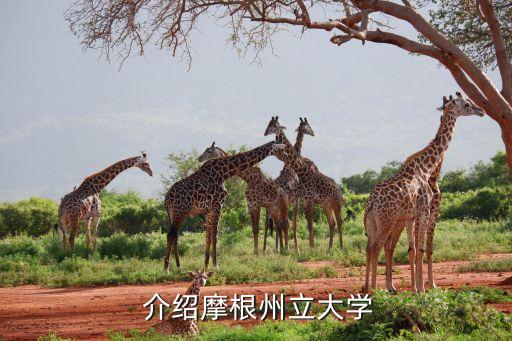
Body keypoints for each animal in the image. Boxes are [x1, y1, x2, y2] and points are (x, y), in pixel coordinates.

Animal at [164, 139, 286, 270]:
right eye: (278, 147)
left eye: (208, 151)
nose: (285, 152)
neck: (224, 172)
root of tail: (166, 199)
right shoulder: (218, 205)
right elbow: (215, 236)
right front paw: (215, 266)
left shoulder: (209, 210)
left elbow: (208, 237)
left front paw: (206, 266)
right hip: (180, 213)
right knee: (171, 235)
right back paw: (167, 269)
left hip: (173, 214)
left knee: (174, 235)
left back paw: (178, 267)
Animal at [264, 117, 344, 250]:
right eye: (308, 126)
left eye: (273, 125)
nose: (313, 132)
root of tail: (339, 189)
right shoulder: (303, 200)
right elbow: (304, 224)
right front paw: (307, 248)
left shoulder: (303, 200)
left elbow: (303, 224)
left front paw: (307, 247)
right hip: (326, 204)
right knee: (332, 222)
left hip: (334, 203)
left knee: (338, 221)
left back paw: (339, 247)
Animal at [364, 92, 484, 292]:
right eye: (467, 104)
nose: (481, 110)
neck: (427, 168)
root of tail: (371, 204)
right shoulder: (425, 211)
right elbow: (421, 249)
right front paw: (422, 289)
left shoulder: (413, 215)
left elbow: (414, 250)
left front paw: (418, 288)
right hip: (387, 221)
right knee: (377, 249)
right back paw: (375, 290)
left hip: (374, 224)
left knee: (370, 248)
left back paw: (367, 289)